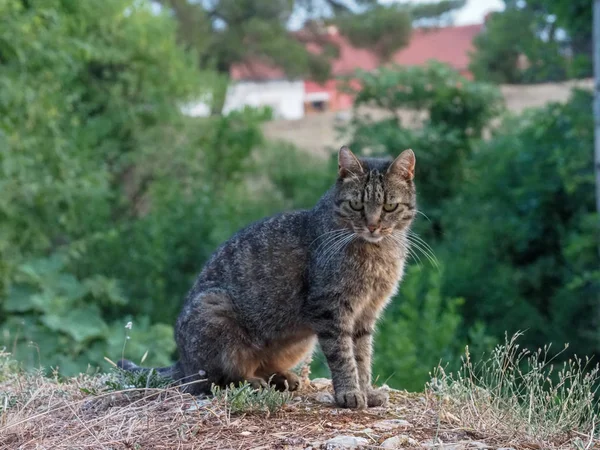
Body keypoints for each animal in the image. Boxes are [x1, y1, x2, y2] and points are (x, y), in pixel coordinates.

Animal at [119, 147, 414, 408]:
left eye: (389, 206)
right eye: (356, 205)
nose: (373, 225)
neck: (377, 253)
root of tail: (182, 361)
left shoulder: (366, 312)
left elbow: (362, 357)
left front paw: (366, 391)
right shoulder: (331, 309)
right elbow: (343, 357)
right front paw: (349, 394)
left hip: (299, 341)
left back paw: (282, 378)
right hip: (215, 312)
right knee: (214, 379)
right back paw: (251, 382)